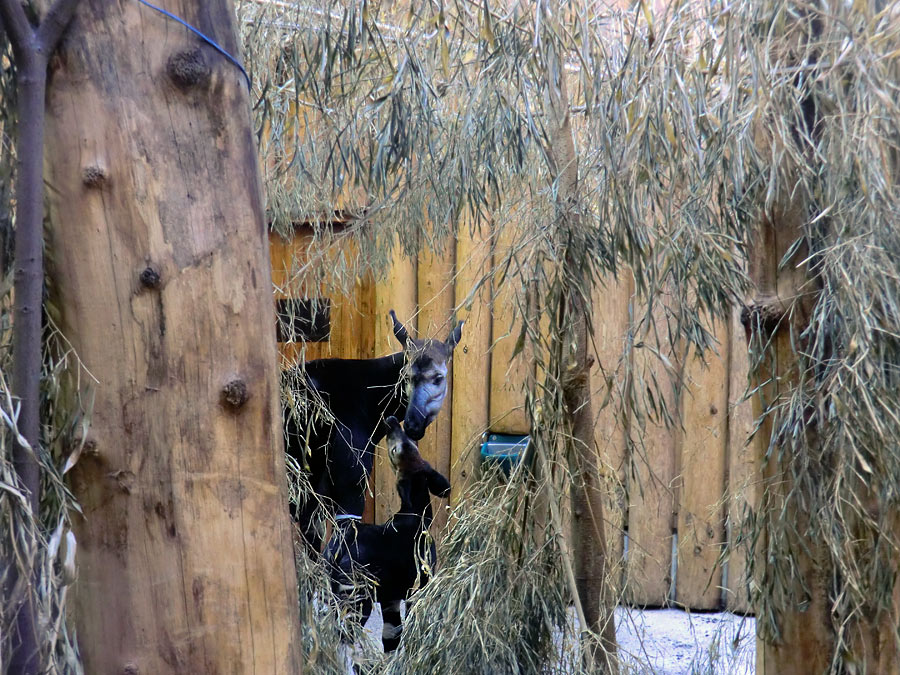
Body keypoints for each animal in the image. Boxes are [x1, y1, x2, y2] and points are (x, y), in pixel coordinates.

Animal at [284, 312, 460, 556]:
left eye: (438, 377)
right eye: (405, 377)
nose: (413, 424)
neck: (367, 397)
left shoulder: (313, 492)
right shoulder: (351, 477)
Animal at [324, 418, 450, 656]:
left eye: (412, 443)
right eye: (395, 450)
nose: (392, 421)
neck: (417, 515)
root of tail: (340, 548)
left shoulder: (391, 597)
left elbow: (392, 637)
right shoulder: (418, 587)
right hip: (357, 597)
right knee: (345, 636)